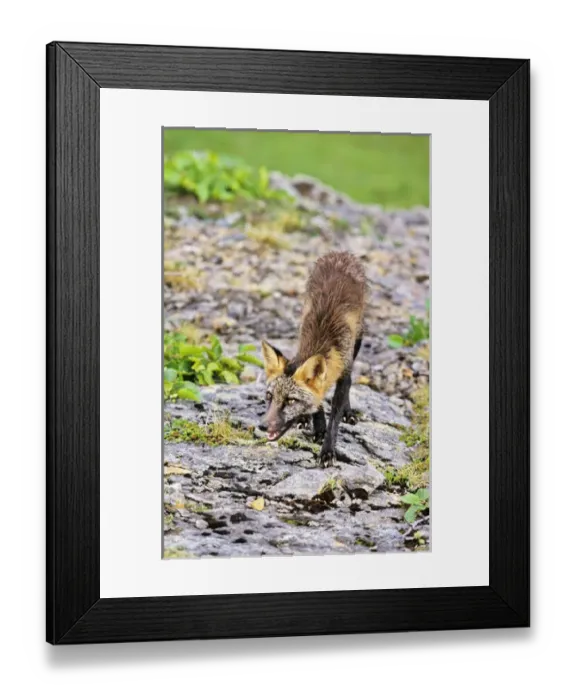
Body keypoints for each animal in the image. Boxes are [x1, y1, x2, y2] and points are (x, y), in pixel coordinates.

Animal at [261, 251, 367, 467]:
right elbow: (317, 400)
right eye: (269, 396)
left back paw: (348, 413)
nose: (263, 425)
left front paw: (327, 450)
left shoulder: (344, 370)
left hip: (358, 340)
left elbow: (335, 415)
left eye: (291, 400)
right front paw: (317, 426)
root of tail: (341, 253)